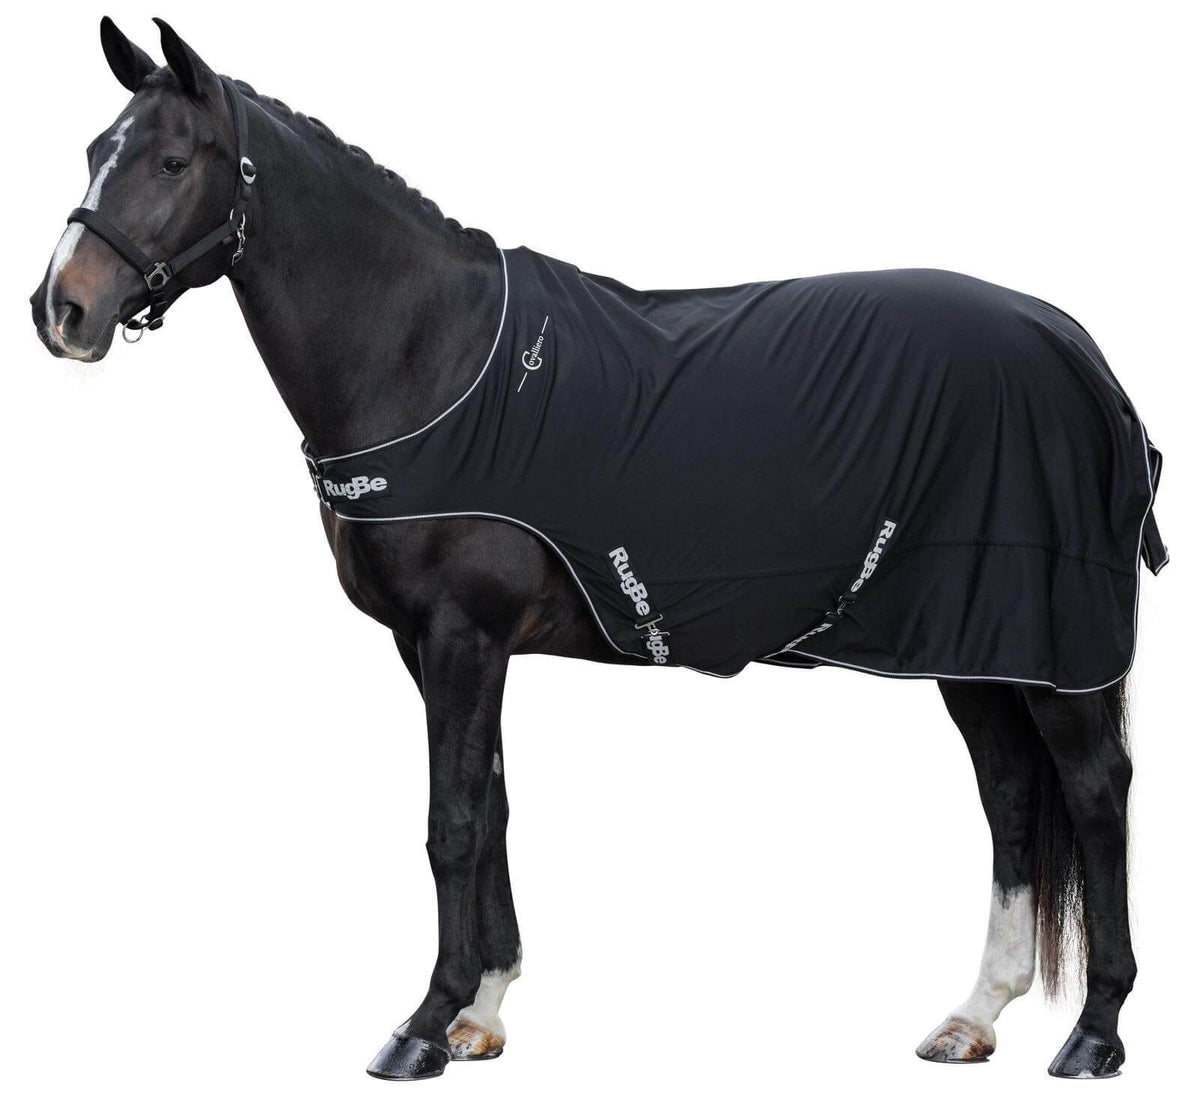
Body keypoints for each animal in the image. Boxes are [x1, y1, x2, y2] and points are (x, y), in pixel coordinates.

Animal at [31, 18, 1166, 1081]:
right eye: (94, 148)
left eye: (173, 160)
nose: (61, 309)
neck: (431, 356)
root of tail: (1081, 355)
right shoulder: (440, 645)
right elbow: (491, 805)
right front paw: (481, 1011)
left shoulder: (461, 634)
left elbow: (450, 820)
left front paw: (421, 1025)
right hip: (973, 639)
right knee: (1011, 791)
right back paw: (977, 1014)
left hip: (1043, 640)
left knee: (1094, 788)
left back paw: (1096, 1033)